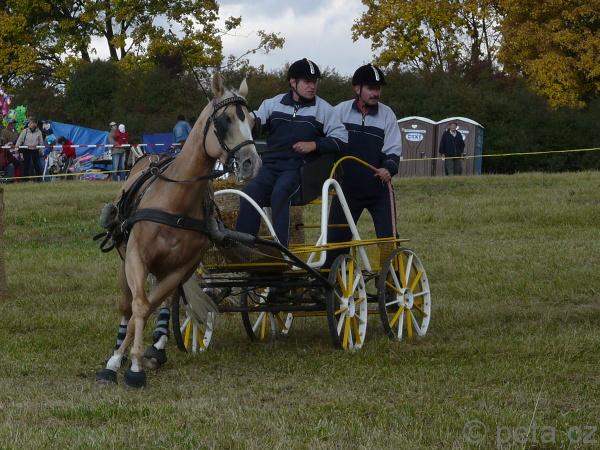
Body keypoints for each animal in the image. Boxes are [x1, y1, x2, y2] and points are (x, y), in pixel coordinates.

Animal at [95, 73, 261, 388]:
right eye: (225, 120)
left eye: (253, 120)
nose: (251, 163)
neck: (176, 200)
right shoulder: (136, 257)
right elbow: (137, 307)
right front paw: (117, 362)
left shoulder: (182, 267)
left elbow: (150, 305)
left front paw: (138, 362)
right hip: (125, 259)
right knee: (126, 305)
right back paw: (120, 349)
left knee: (161, 303)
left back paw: (156, 348)